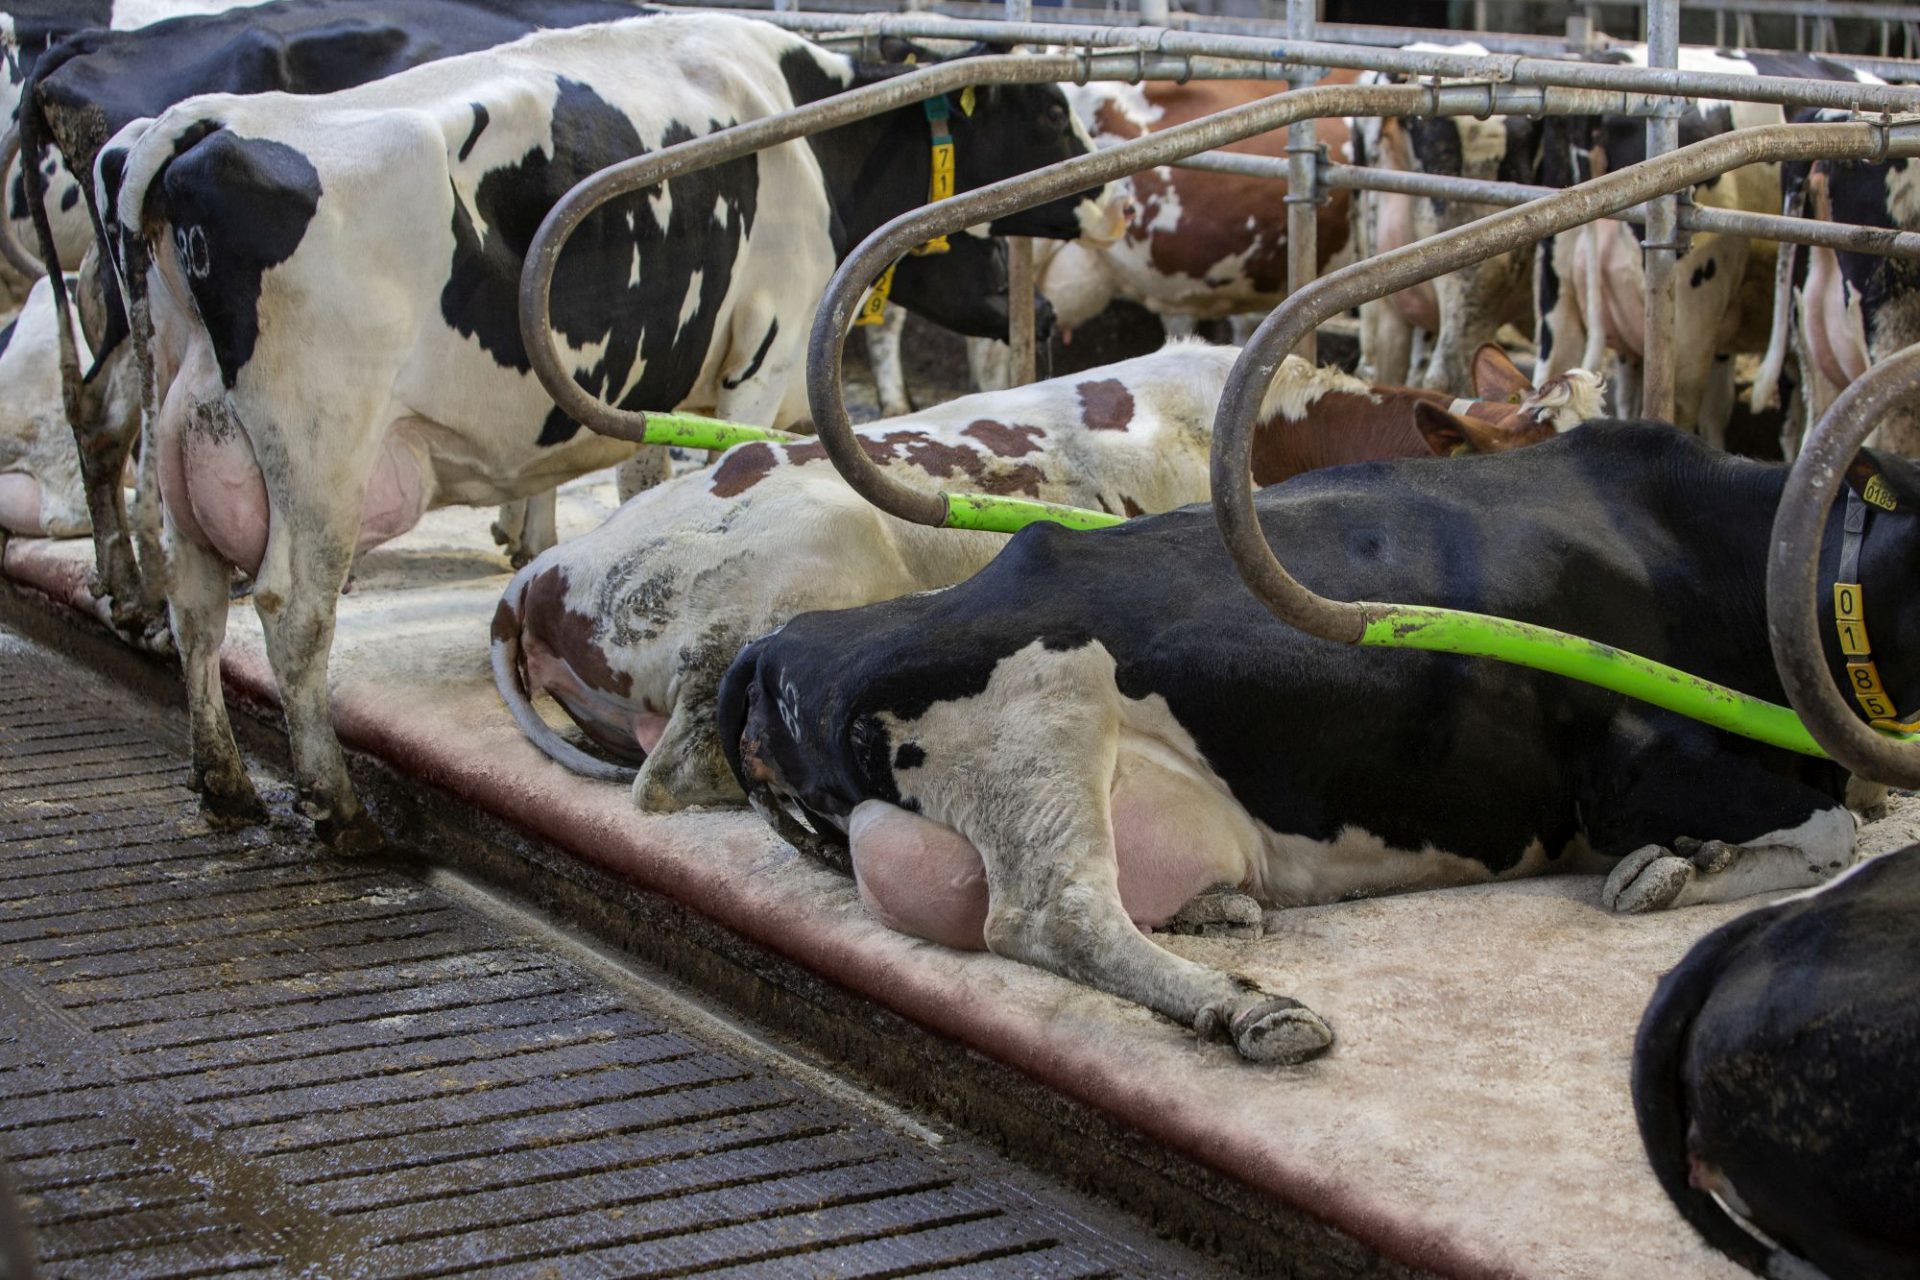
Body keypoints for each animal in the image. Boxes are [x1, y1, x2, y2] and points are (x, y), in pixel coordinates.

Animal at [105, 14, 1121, 852]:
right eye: (1046, 112)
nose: (1110, 210)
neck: (814, 132)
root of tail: (200, 125)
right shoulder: (756, 359)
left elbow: (635, 484)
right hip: (321, 443)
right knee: (293, 611)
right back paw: (338, 806)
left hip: (180, 418)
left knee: (194, 594)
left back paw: (225, 783)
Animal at [718, 426, 1904, 1066]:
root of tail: (787, 638)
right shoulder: (1629, 763)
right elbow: (1828, 833)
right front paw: (1673, 873)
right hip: (1039, 718)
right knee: (1055, 914)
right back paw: (1249, 1006)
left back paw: (1220, 910)